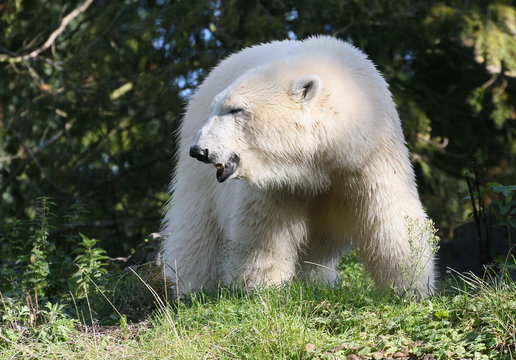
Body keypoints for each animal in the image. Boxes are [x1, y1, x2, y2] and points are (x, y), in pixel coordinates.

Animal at [163, 35, 438, 296]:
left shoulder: (371, 153)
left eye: (235, 109)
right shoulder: (277, 183)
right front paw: (259, 289)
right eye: (222, 108)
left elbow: (392, 219)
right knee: (197, 224)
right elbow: (263, 231)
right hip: (197, 171)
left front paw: (413, 289)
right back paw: (190, 287)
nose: (200, 150)